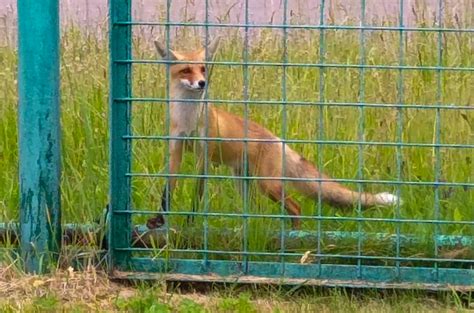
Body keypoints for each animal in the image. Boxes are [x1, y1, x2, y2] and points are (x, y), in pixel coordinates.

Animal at [147, 38, 400, 229]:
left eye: (203, 69)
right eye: (186, 70)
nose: (202, 83)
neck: (188, 120)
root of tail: (279, 140)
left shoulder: (204, 157)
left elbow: (196, 194)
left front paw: (190, 222)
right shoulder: (176, 148)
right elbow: (167, 191)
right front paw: (159, 220)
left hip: (267, 185)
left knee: (296, 208)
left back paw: (294, 235)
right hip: (244, 182)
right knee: (254, 211)